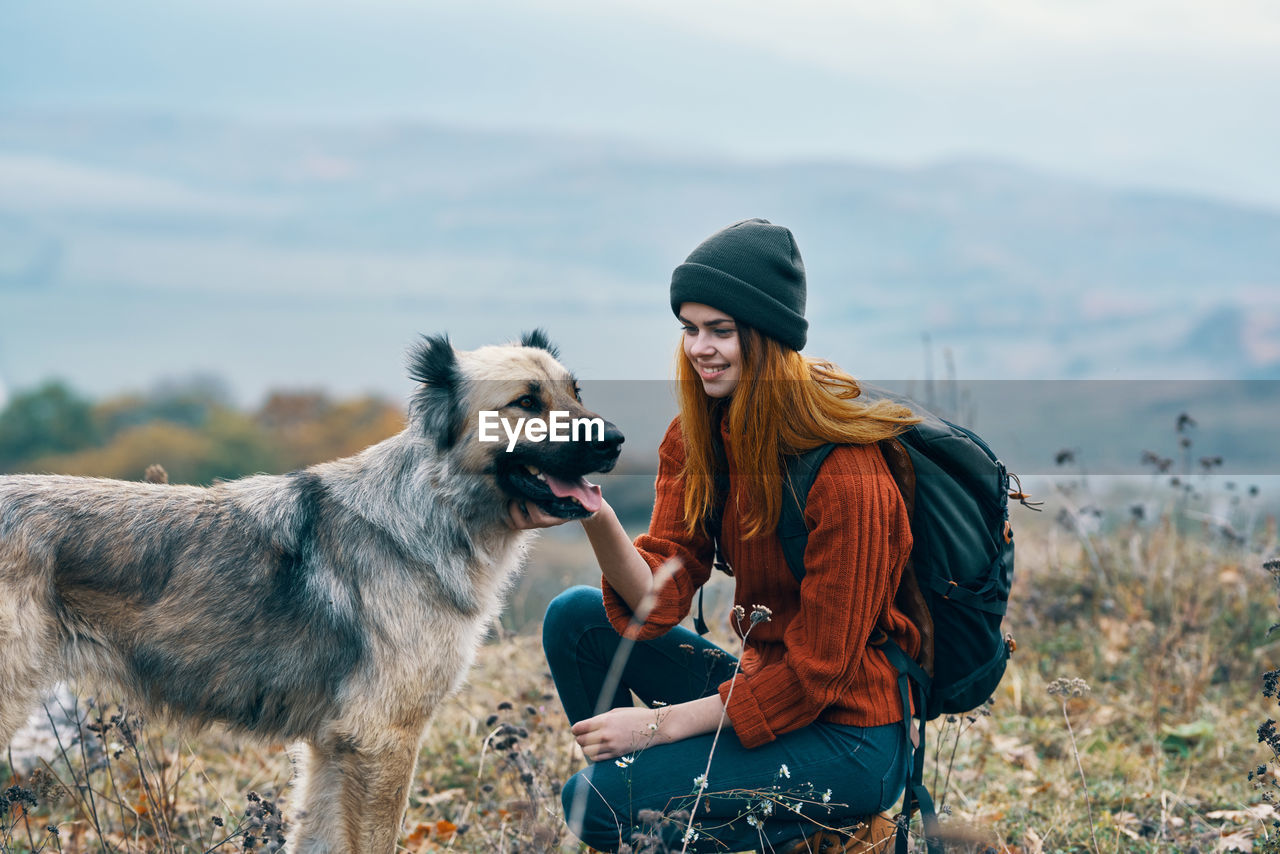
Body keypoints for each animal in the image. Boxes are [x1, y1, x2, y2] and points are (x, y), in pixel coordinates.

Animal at [0, 332, 619, 854]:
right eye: (526, 402)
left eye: (575, 392)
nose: (615, 441)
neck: (431, 508)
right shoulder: (382, 740)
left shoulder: (335, 747)